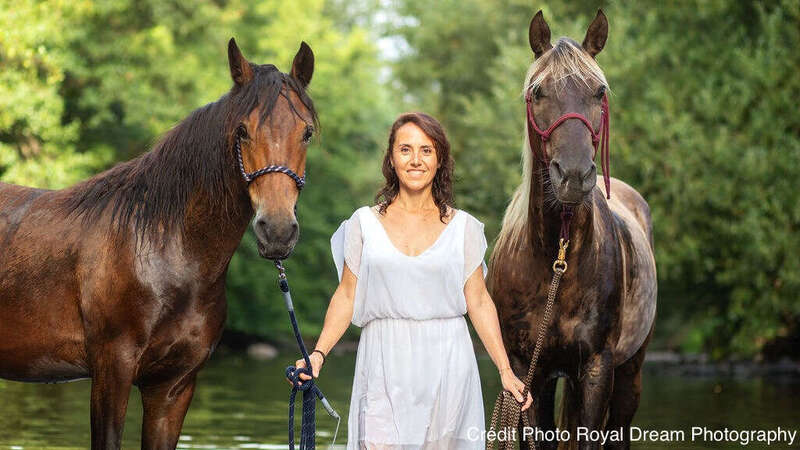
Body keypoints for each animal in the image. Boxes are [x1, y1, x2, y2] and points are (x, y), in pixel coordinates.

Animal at [0, 38, 316, 449]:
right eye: (242, 131)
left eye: (307, 132)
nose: (276, 231)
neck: (164, 250)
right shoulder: (112, 370)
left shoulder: (173, 386)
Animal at [487, 10, 657, 450]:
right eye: (538, 91)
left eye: (599, 91)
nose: (575, 175)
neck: (556, 257)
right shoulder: (525, 369)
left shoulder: (598, 367)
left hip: (630, 373)